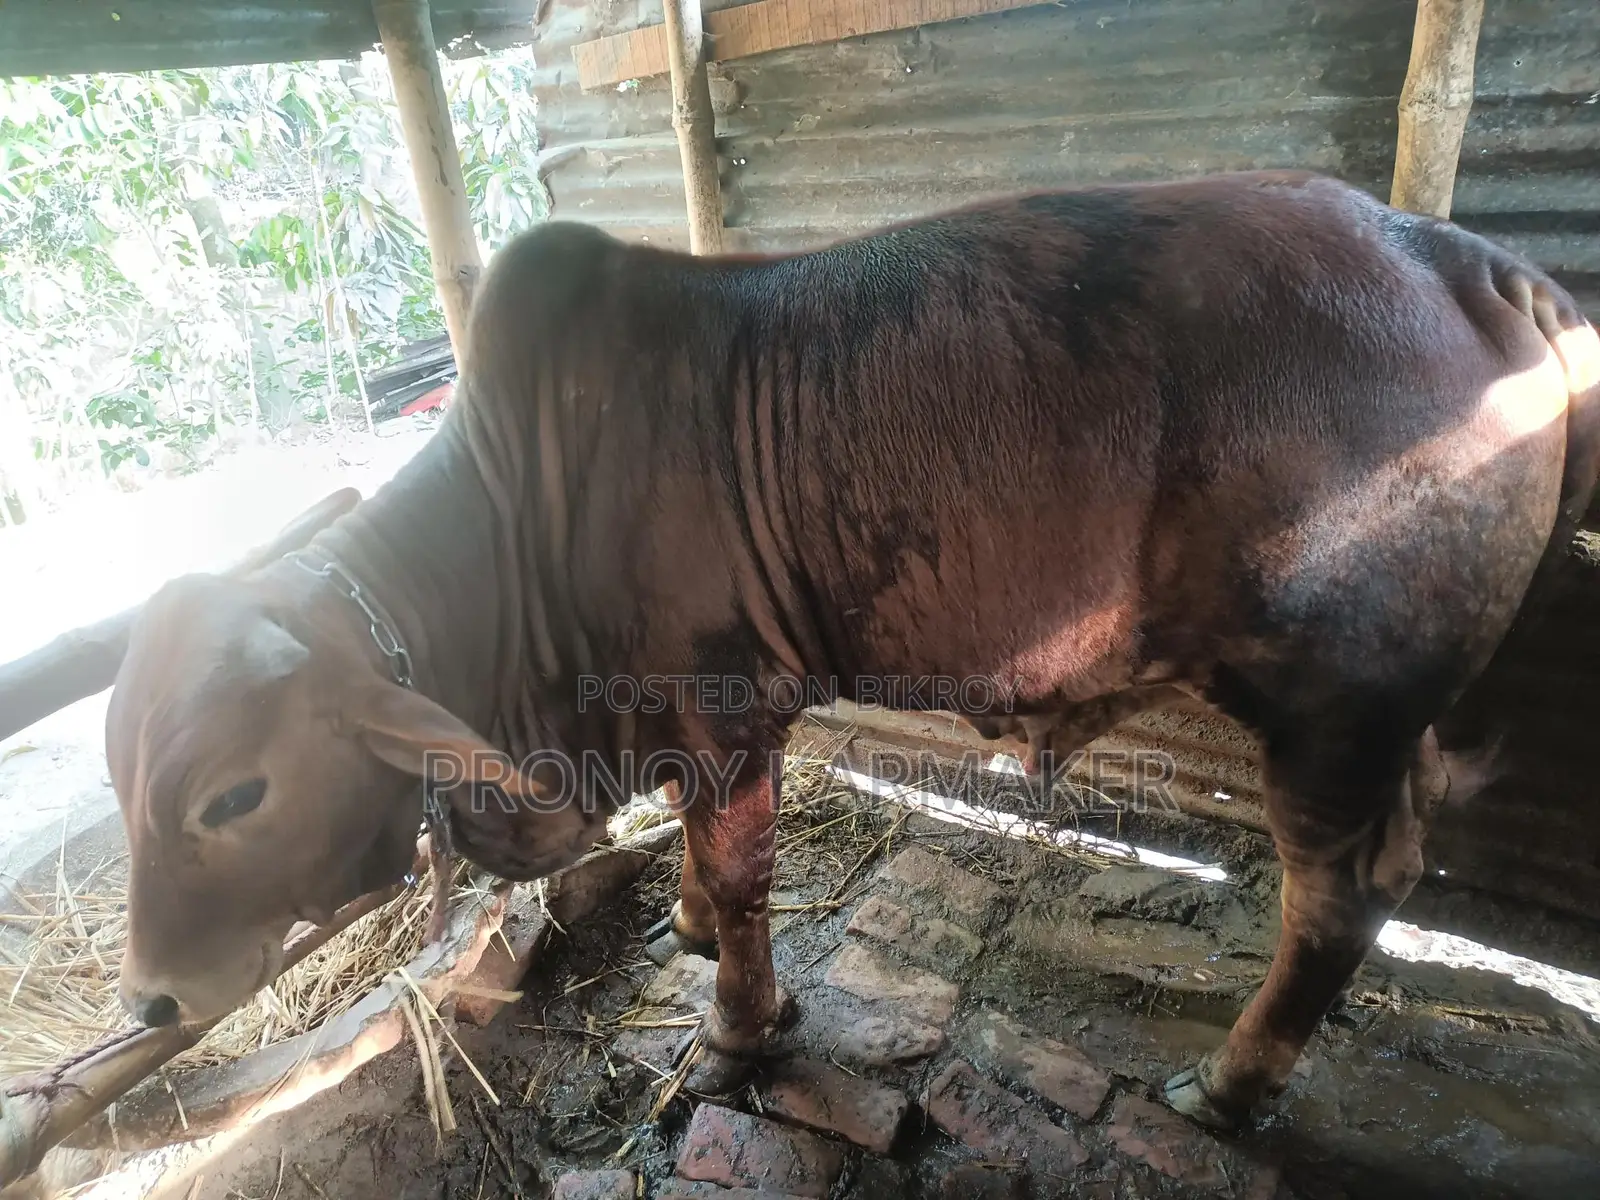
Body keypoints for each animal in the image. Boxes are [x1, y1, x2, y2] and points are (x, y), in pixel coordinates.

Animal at [105, 170, 1600, 1130]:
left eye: (232, 794)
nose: (154, 1002)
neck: (521, 533)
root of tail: (1460, 257)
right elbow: (705, 872)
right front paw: (689, 932)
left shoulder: (724, 712)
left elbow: (746, 881)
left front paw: (734, 1031)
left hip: (1333, 714)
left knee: (1336, 901)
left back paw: (1230, 1088)